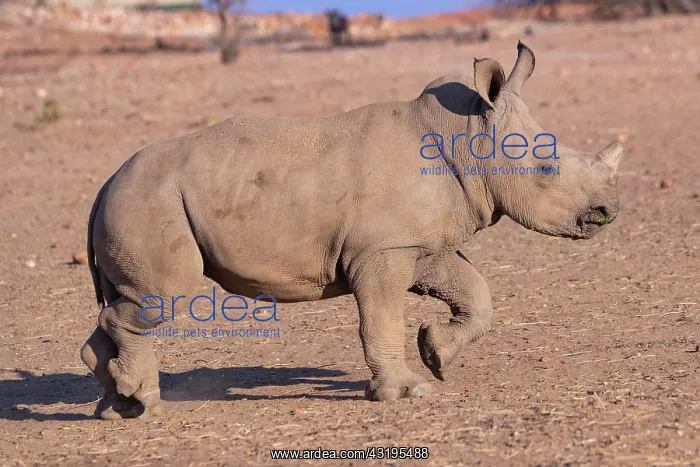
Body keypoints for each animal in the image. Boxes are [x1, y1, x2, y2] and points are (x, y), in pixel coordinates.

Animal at [81, 42, 623, 419]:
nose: (609, 211)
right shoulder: (381, 252)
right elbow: (380, 319)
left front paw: (436, 356)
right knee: (162, 298)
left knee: (128, 302)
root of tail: (105, 183)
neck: (468, 135)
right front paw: (404, 391)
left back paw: (120, 408)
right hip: (149, 202)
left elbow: (476, 293)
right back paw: (144, 401)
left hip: (137, 201)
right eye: (547, 168)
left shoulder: (417, 244)